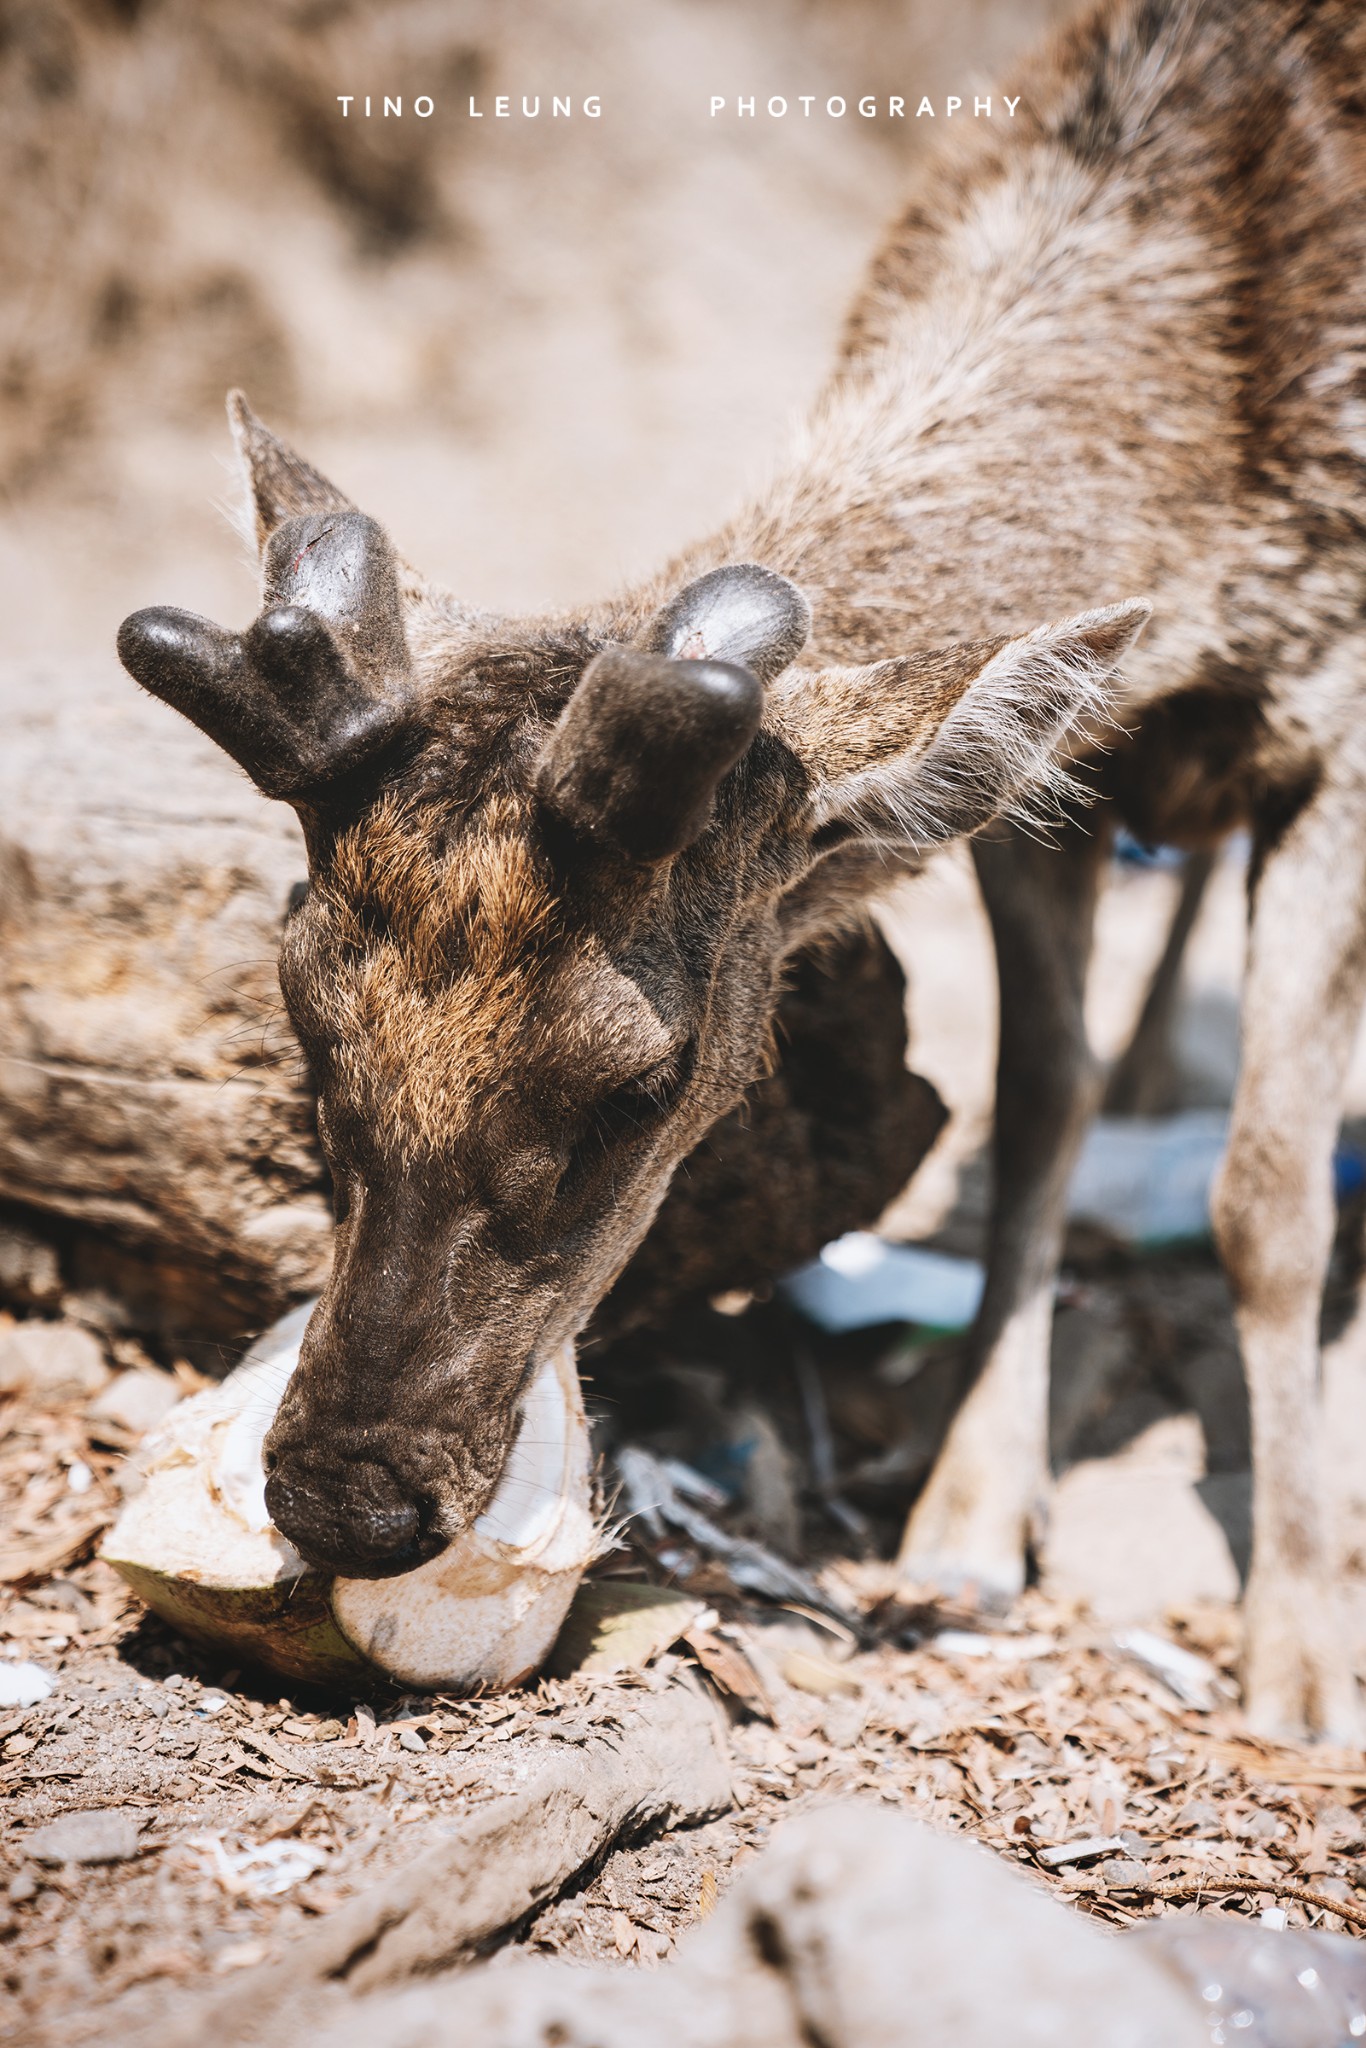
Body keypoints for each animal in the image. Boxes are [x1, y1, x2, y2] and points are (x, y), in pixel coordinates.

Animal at [117, 0, 1366, 1736]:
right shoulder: (1054, 785)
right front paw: (966, 1522)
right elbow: (1034, 1100)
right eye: (301, 1015)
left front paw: (1301, 1649)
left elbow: (1267, 1196)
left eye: (637, 1084)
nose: (341, 1501)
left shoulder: (1341, 723)